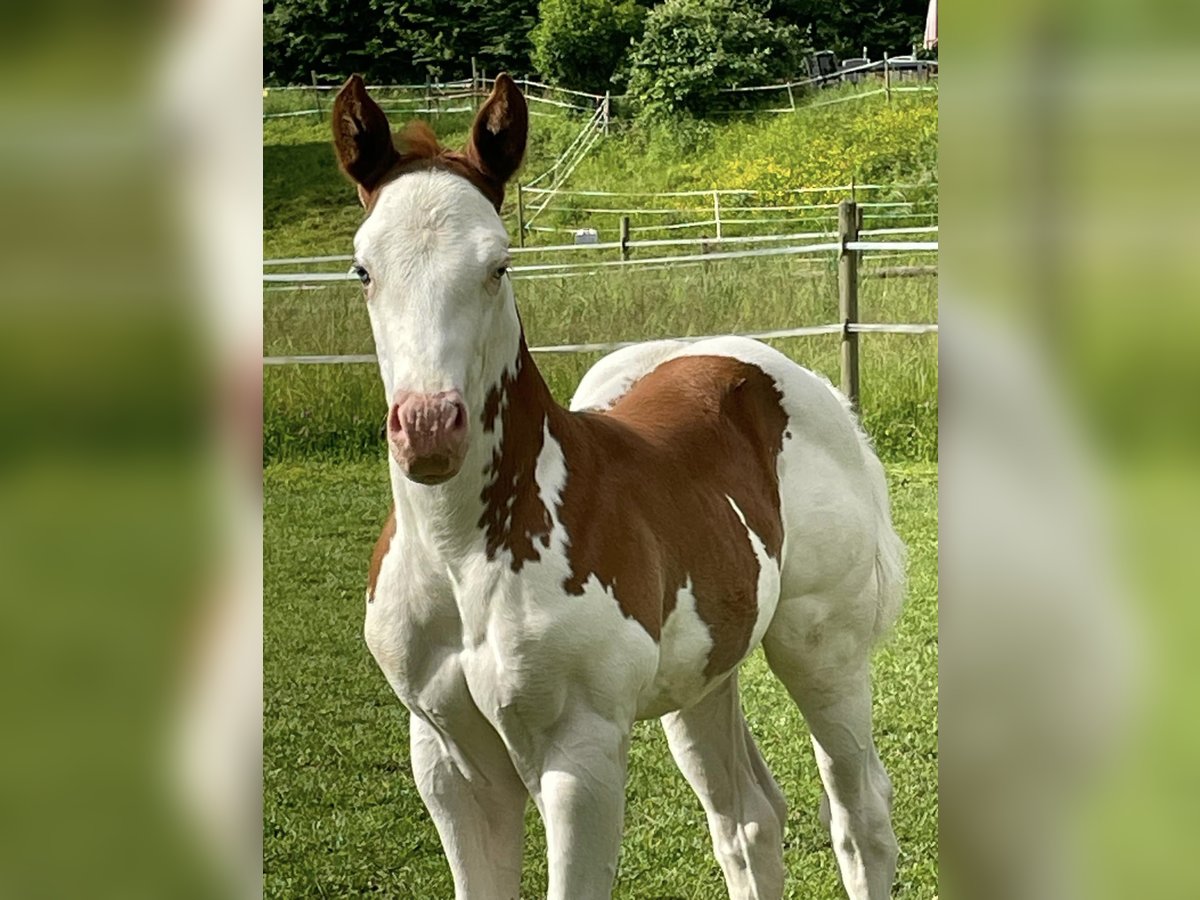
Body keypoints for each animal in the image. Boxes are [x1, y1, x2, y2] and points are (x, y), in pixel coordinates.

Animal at [333, 72, 902, 900]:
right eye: (363, 269)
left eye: (498, 264)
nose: (430, 427)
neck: (462, 554)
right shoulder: (446, 758)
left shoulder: (580, 755)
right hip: (704, 676)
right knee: (749, 821)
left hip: (821, 649)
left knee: (860, 819)